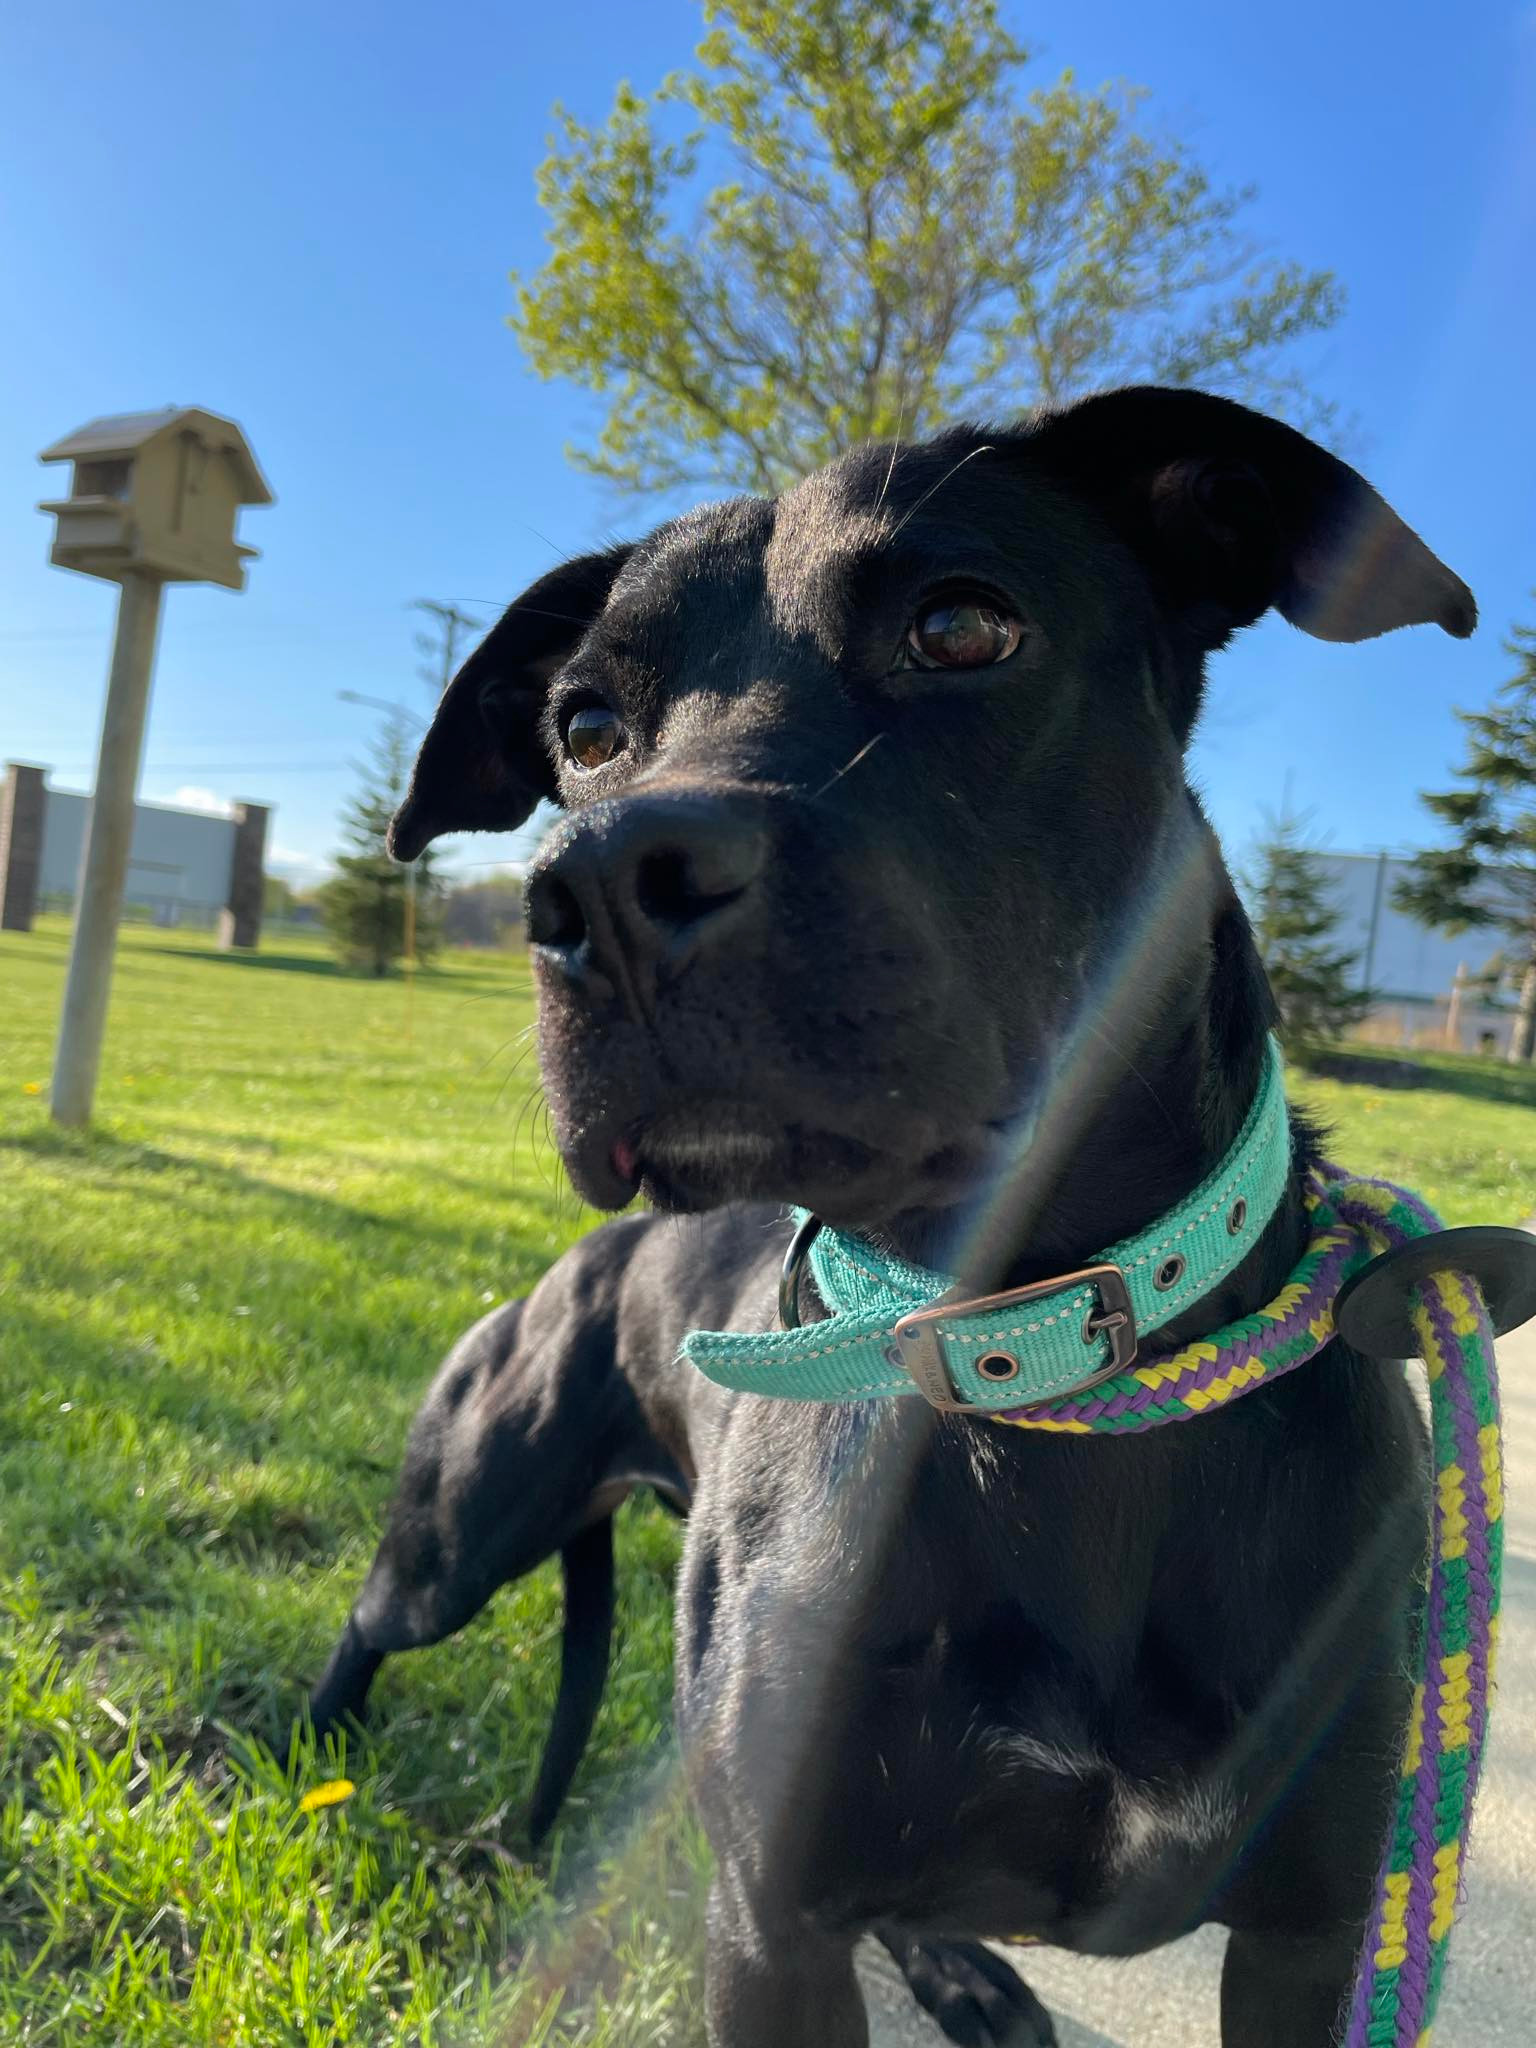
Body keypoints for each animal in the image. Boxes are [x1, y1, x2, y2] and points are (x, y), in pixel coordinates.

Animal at [315, 387, 1482, 2048]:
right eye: (586, 731)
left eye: (963, 627)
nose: (595, 887)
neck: (1032, 1358)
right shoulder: (771, 1926)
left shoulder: (1310, 1942)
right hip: (463, 1524)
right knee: (368, 1617)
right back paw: (306, 1759)